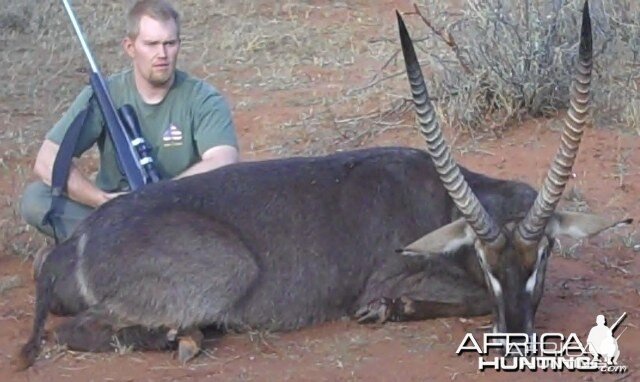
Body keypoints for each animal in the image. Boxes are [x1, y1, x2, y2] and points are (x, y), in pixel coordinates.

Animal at [17, 0, 628, 370]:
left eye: (545, 253)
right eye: (482, 257)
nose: (516, 337)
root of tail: (77, 241)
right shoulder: (396, 272)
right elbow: (467, 298)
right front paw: (389, 309)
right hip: (227, 268)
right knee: (73, 331)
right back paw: (180, 337)